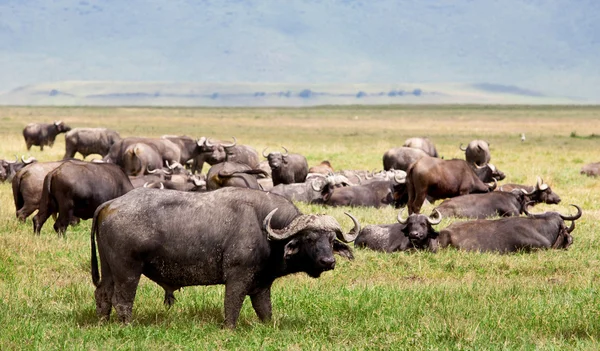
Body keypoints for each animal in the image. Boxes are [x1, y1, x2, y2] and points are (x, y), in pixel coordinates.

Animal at [90, 188, 360, 328]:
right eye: (310, 238)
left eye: (330, 240)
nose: (328, 262)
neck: (264, 229)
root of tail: (110, 204)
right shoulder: (237, 278)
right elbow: (232, 305)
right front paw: (229, 329)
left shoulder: (262, 284)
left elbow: (265, 310)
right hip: (128, 271)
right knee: (122, 300)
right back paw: (127, 325)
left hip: (110, 269)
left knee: (103, 294)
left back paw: (103, 323)